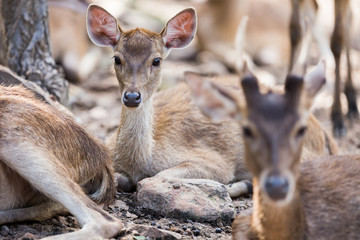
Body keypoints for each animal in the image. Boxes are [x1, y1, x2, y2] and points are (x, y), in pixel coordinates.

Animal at [86, 4, 338, 197]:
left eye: (156, 60)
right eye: (117, 58)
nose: (132, 96)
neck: (139, 160)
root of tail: (325, 135)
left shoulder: (214, 162)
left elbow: (156, 177)